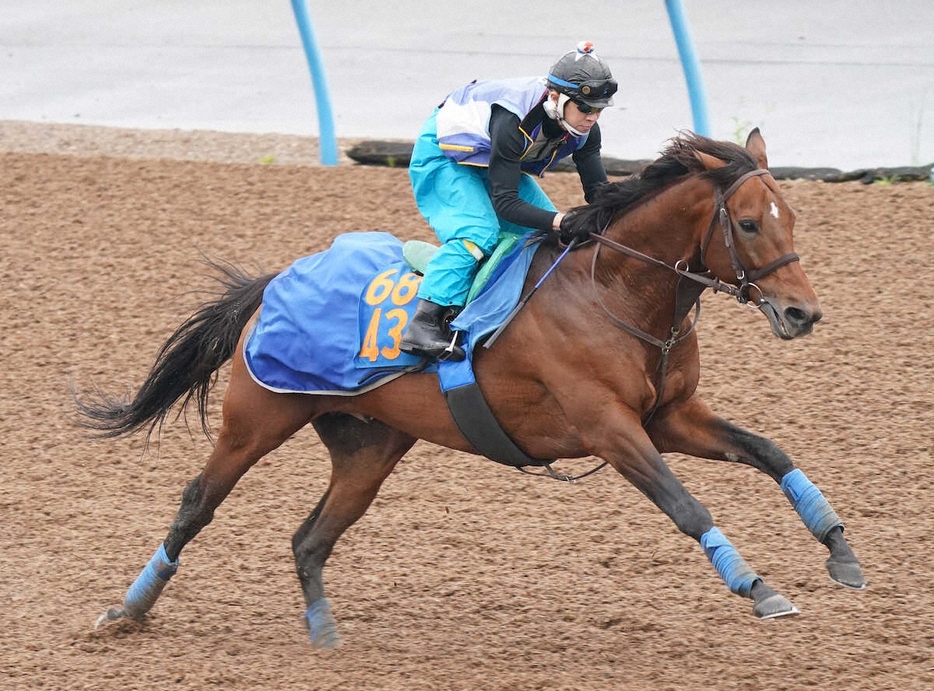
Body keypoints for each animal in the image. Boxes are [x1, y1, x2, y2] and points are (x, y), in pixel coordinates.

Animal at [77, 128, 868, 648]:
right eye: (747, 223)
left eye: (792, 216)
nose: (803, 313)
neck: (613, 290)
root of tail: (276, 280)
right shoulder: (611, 429)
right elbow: (686, 504)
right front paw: (758, 587)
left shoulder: (671, 416)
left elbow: (769, 450)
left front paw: (840, 550)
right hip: (256, 419)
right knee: (197, 503)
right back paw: (126, 611)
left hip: (370, 447)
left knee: (310, 537)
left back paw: (324, 633)